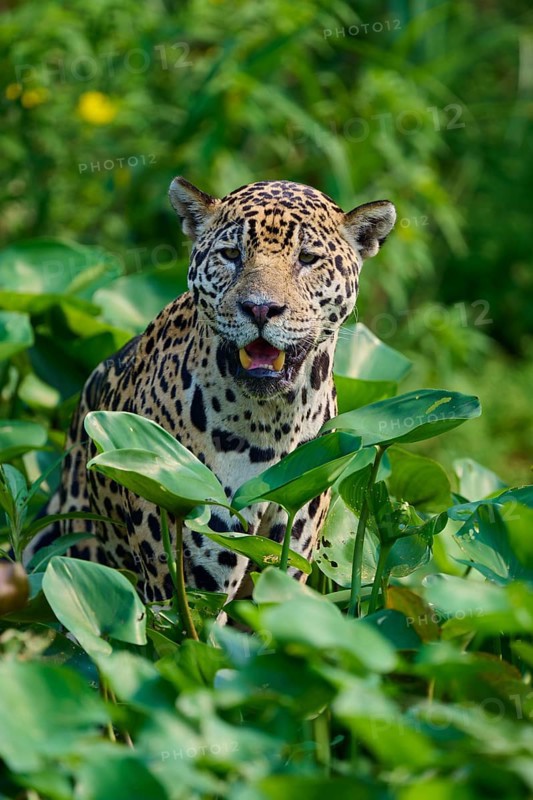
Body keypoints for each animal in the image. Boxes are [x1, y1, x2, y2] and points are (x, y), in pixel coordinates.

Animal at [36, 177, 396, 604]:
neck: (274, 421)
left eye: (308, 258)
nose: (260, 308)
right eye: (231, 254)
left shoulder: (290, 553)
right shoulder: (190, 577)